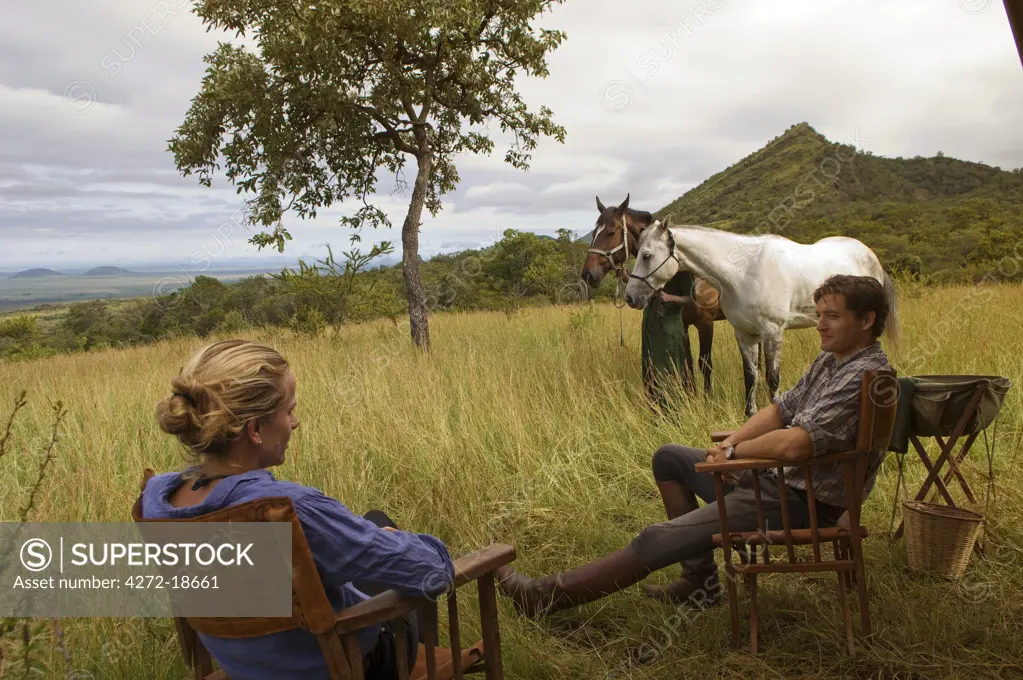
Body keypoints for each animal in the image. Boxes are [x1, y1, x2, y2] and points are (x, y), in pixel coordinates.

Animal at [585, 192, 728, 392]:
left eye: (611, 232)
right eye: (593, 233)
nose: (587, 274)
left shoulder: (706, 323)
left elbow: (704, 364)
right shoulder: (683, 325)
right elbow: (687, 365)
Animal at [621, 219, 904, 417]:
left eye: (647, 255)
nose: (630, 297)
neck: (743, 271)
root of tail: (870, 255)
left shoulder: (772, 331)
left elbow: (771, 378)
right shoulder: (745, 334)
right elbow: (751, 376)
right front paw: (750, 414)